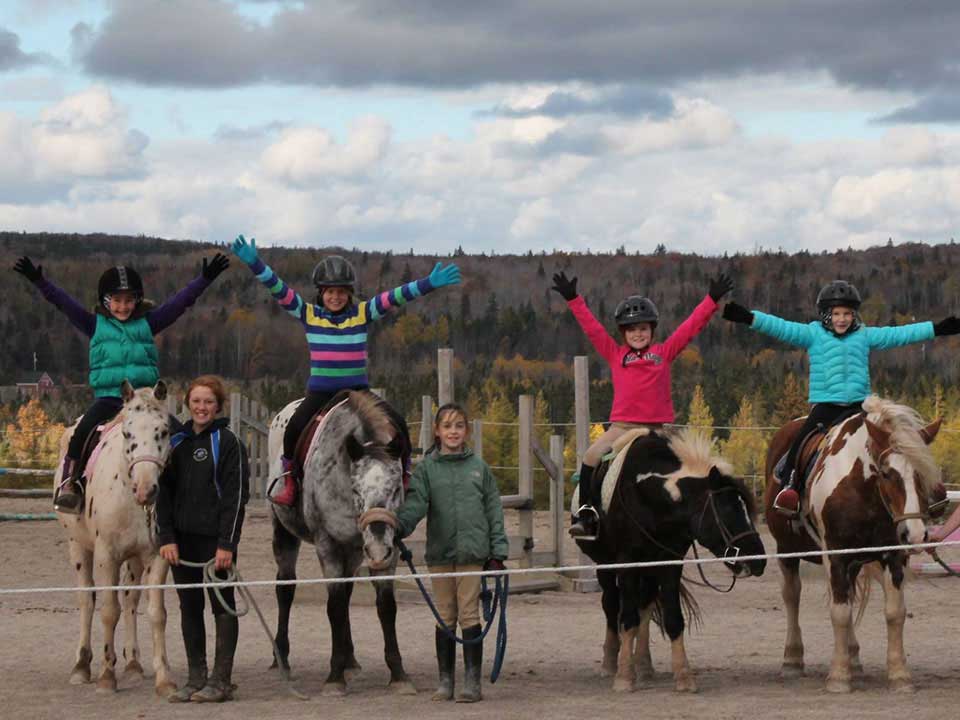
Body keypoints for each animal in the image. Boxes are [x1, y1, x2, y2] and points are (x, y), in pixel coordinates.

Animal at [54, 380, 176, 696]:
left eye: (163, 431)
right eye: (127, 433)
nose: (146, 490)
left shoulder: (157, 556)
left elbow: (156, 613)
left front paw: (164, 679)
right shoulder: (106, 555)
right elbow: (109, 610)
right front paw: (106, 676)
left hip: (134, 559)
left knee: (131, 600)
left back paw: (133, 665)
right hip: (78, 547)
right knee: (87, 599)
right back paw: (82, 666)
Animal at [264, 390, 414, 696]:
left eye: (395, 488)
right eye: (357, 489)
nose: (377, 548)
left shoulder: (387, 549)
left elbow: (385, 605)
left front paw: (398, 674)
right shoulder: (328, 543)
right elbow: (333, 605)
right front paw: (334, 678)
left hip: (355, 550)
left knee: (347, 593)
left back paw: (350, 658)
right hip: (284, 533)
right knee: (285, 588)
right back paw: (282, 655)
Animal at [572, 428, 768, 692]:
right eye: (728, 511)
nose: (758, 561)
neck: (647, 492)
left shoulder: (669, 562)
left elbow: (672, 618)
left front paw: (683, 677)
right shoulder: (626, 563)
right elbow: (627, 618)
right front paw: (624, 677)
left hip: (649, 570)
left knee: (644, 608)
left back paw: (644, 666)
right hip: (605, 565)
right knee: (611, 605)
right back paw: (610, 663)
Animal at [768, 396, 940, 696]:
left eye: (922, 472)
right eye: (887, 473)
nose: (916, 535)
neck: (861, 490)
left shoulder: (893, 556)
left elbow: (895, 612)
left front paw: (899, 675)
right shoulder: (835, 556)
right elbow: (839, 612)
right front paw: (838, 677)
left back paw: (853, 657)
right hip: (787, 550)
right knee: (792, 596)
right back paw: (792, 659)